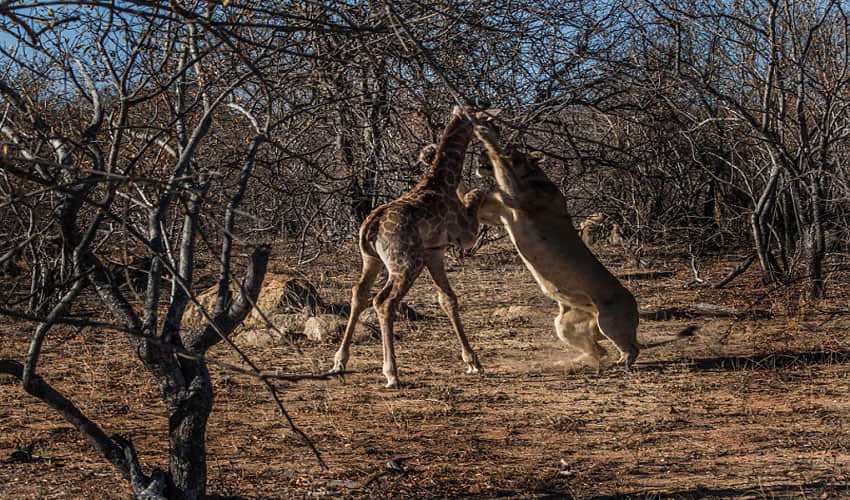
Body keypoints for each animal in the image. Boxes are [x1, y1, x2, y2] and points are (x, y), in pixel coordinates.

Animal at [469, 124, 640, 370]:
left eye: (510, 150)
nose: (480, 154)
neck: (532, 177)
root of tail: (635, 305)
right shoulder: (498, 214)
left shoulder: (516, 197)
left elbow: (503, 168)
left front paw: (486, 137)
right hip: (564, 324)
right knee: (599, 350)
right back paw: (575, 361)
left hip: (609, 320)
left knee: (631, 347)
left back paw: (621, 362)